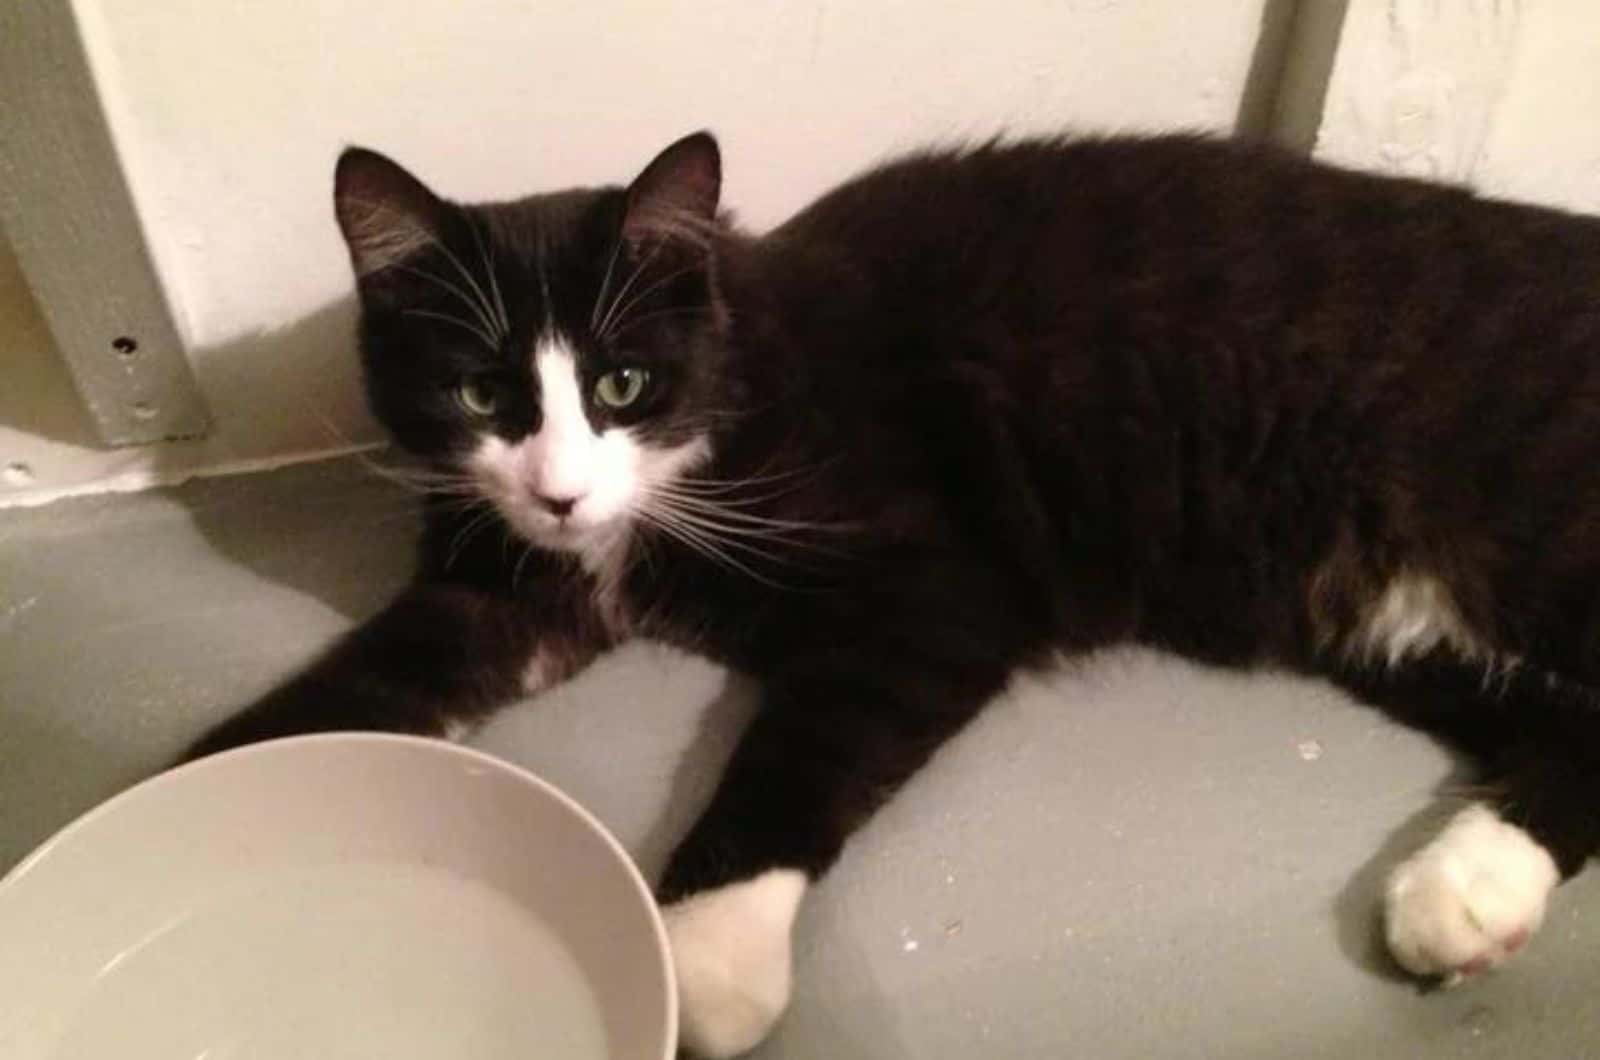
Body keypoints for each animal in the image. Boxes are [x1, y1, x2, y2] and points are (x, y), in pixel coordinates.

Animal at [187, 128, 1600, 1056]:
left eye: (621, 384)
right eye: (481, 393)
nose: (560, 492)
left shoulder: (936, 583)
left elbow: (800, 752)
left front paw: (705, 955)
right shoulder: (507, 586)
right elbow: (360, 683)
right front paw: (179, 810)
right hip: (1394, 623)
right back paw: (1471, 892)